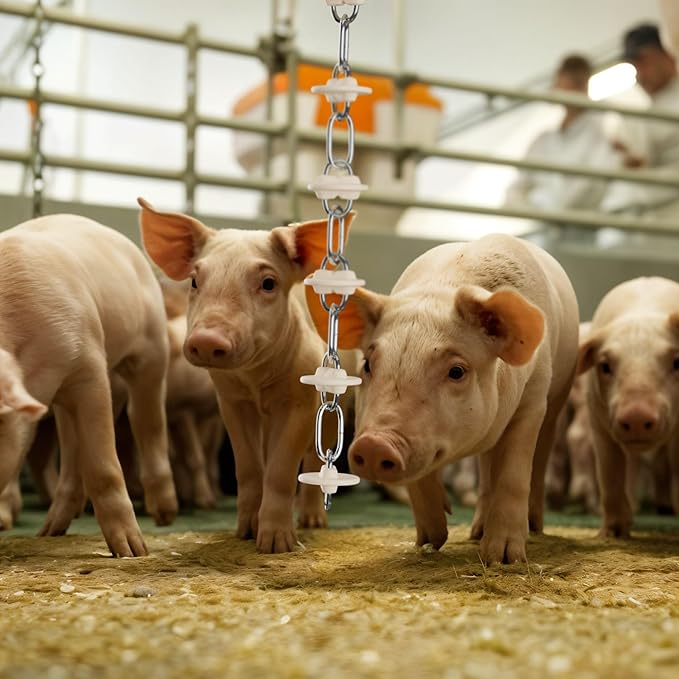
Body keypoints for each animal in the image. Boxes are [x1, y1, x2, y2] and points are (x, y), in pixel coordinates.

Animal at [0, 214, 178, 556]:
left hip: (152, 348)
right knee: (71, 449)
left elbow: (104, 465)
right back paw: (49, 531)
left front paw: (131, 552)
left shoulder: (89, 367)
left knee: (146, 420)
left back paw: (164, 516)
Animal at [138, 198, 348, 553]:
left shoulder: (301, 402)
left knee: (316, 460)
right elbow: (249, 467)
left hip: (333, 408)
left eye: (268, 283)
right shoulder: (231, 402)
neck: (256, 380)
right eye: (194, 281)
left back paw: (313, 522)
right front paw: (246, 533)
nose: (207, 340)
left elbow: (281, 468)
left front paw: (277, 546)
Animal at [328, 234, 578, 564]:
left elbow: (513, 474)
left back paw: (534, 528)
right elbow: (420, 478)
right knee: (487, 468)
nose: (373, 444)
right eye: (368, 364)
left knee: (539, 458)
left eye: (457, 371)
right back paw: (475, 532)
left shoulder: (534, 398)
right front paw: (430, 542)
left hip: (559, 393)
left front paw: (503, 559)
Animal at [577, 277, 679, 537]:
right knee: (631, 464)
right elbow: (610, 471)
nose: (636, 415)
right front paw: (611, 534)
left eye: (677, 362)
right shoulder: (597, 419)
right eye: (604, 365)